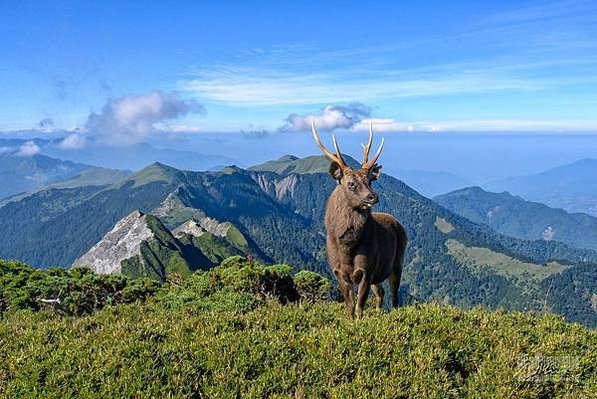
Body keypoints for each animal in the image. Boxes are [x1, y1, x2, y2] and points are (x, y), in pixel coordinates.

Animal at [312, 120, 406, 320]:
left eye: (370, 181)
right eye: (351, 183)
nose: (373, 196)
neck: (346, 249)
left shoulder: (367, 269)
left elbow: (359, 306)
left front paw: (360, 322)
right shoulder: (338, 272)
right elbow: (349, 306)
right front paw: (350, 322)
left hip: (397, 263)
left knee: (394, 296)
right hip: (379, 274)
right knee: (381, 293)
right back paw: (378, 313)